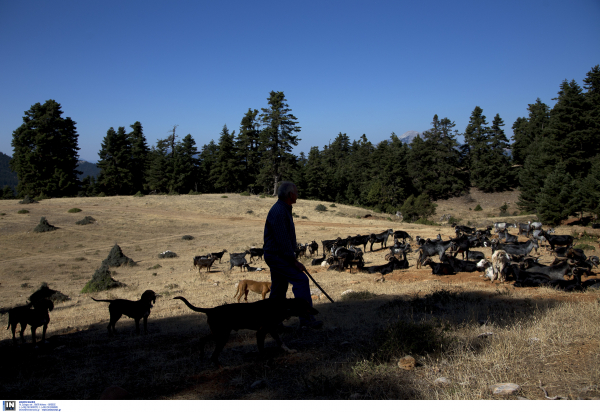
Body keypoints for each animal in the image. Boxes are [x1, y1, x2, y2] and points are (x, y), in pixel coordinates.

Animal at [172, 294, 318, 366]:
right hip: (222, 335)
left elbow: (281, 342)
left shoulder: (271, 329)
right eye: (306, 305)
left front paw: (289, 351)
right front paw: (267, 360)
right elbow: (261, 349)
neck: (282, 306)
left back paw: (202, 355)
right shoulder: (261, 332)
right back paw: (222, 366)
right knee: (213, 355)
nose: (316, 311)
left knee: (203, 339)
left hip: (219, 333)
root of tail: (210, 310)